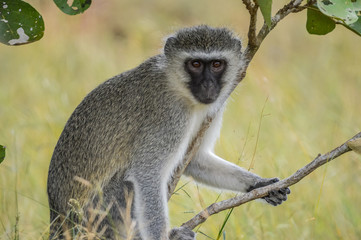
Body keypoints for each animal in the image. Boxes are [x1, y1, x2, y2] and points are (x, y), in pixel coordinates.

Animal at [47, 25, 290, 239]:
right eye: (195, 64)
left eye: (217, 64)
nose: (208, 85)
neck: (180, 90)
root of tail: (57, 220)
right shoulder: (169, 118)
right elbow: (148, 174)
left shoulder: (214, 107)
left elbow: (195, 160)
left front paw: (261, 185)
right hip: (93, 217)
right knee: (126, 186)